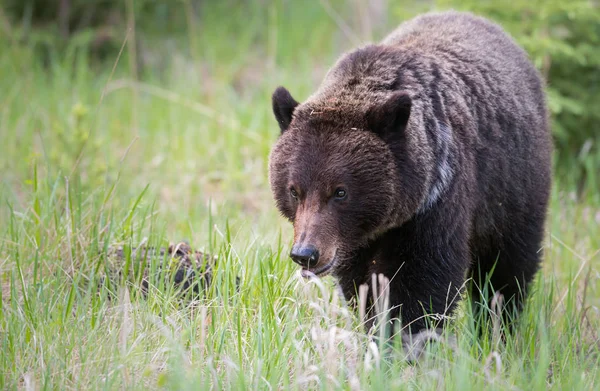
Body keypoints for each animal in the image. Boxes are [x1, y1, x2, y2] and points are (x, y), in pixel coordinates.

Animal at [270, 12, 552, 336]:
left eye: (340, 191)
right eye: (294, 190)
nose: (306, 253)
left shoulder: (437, 201)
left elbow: (423, 282)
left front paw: (405, 333)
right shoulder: (355, 242)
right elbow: (363, 286)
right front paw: (375, 327)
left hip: (512, 187)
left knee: (507, 268)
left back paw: (498, 327)